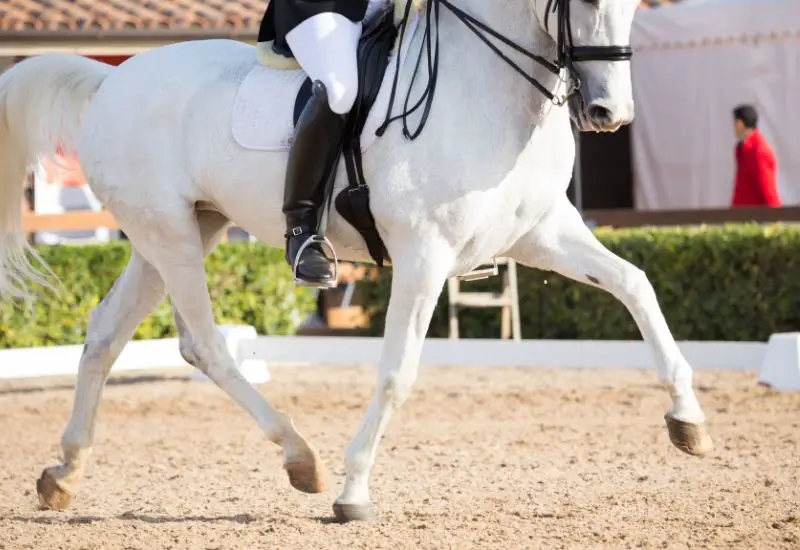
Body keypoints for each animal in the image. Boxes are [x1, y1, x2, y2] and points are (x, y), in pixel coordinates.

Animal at [0, 0, 712, 524]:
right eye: (584, 1)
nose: (609, 113)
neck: (491, 92)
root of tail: (111, 77)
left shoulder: (541, 234)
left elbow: (637, 285)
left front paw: (688, 422)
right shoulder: (425, 256)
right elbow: (397, 373)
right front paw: (354, 490)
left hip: (186, 228)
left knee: (104, 332)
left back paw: (63, 473)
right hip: (167, 231)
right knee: (203, 343)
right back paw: (301, 459)